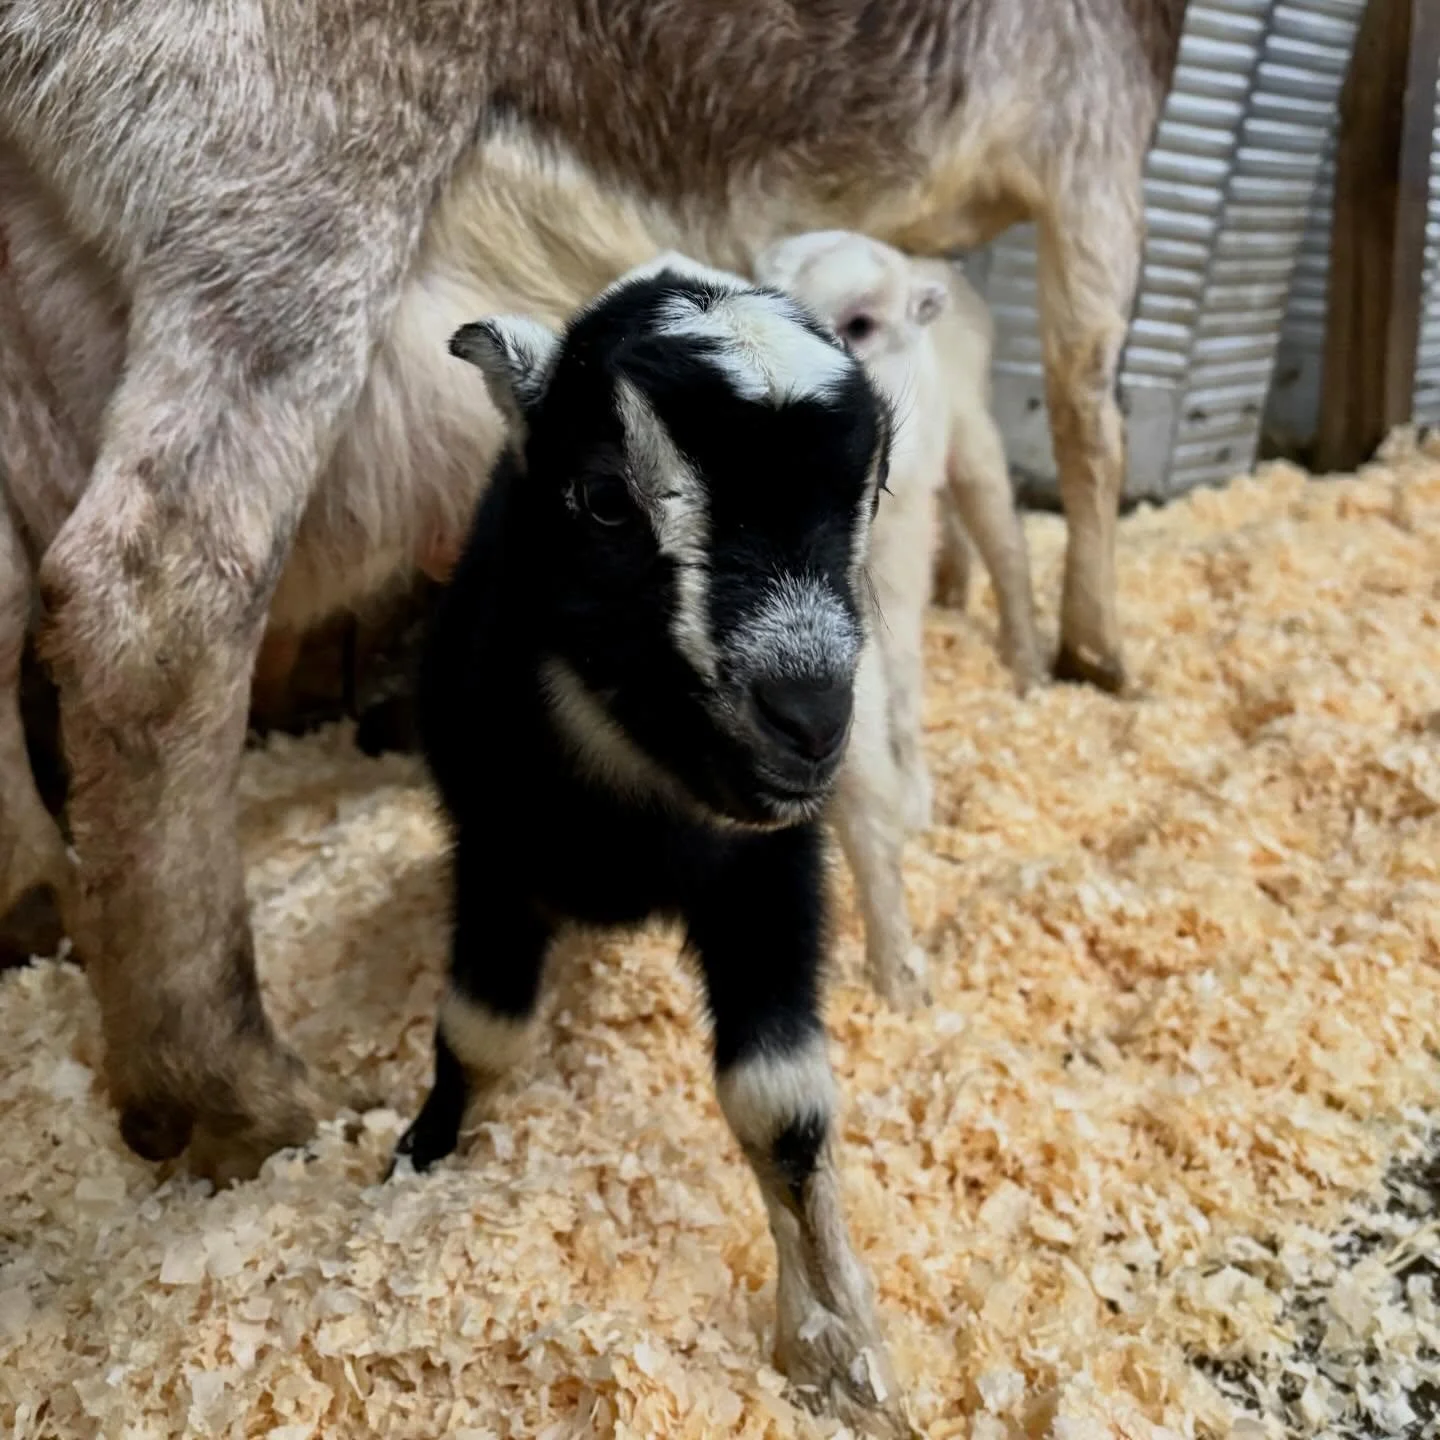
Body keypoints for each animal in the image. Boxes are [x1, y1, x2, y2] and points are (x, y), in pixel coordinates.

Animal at [0, 0, 1186, 1179]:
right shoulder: (1095, 122)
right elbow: (1089, 407)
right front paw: (1094, 654)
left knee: (14, 598)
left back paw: (44, 905)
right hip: (285, 194)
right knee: (153, 603)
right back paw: (241, 1098)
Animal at [392, 256, 908, 1435]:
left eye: (871, 493)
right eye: (605, 498)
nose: (807, 716)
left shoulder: (772, 873)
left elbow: (783, 1105)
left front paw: (841, 1355)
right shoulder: (493, 854)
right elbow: (480, 1032)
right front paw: (422, 1154)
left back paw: (904, 971)